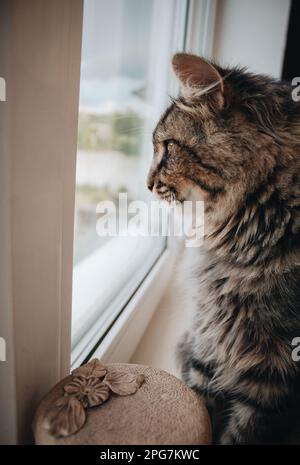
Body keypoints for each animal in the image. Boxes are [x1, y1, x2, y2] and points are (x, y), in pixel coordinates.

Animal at [146, 52, 300, 444]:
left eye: (167, 148)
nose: (148, 183)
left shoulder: (273, 374)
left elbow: (240, 433)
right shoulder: (208, 339)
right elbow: (201, 405)